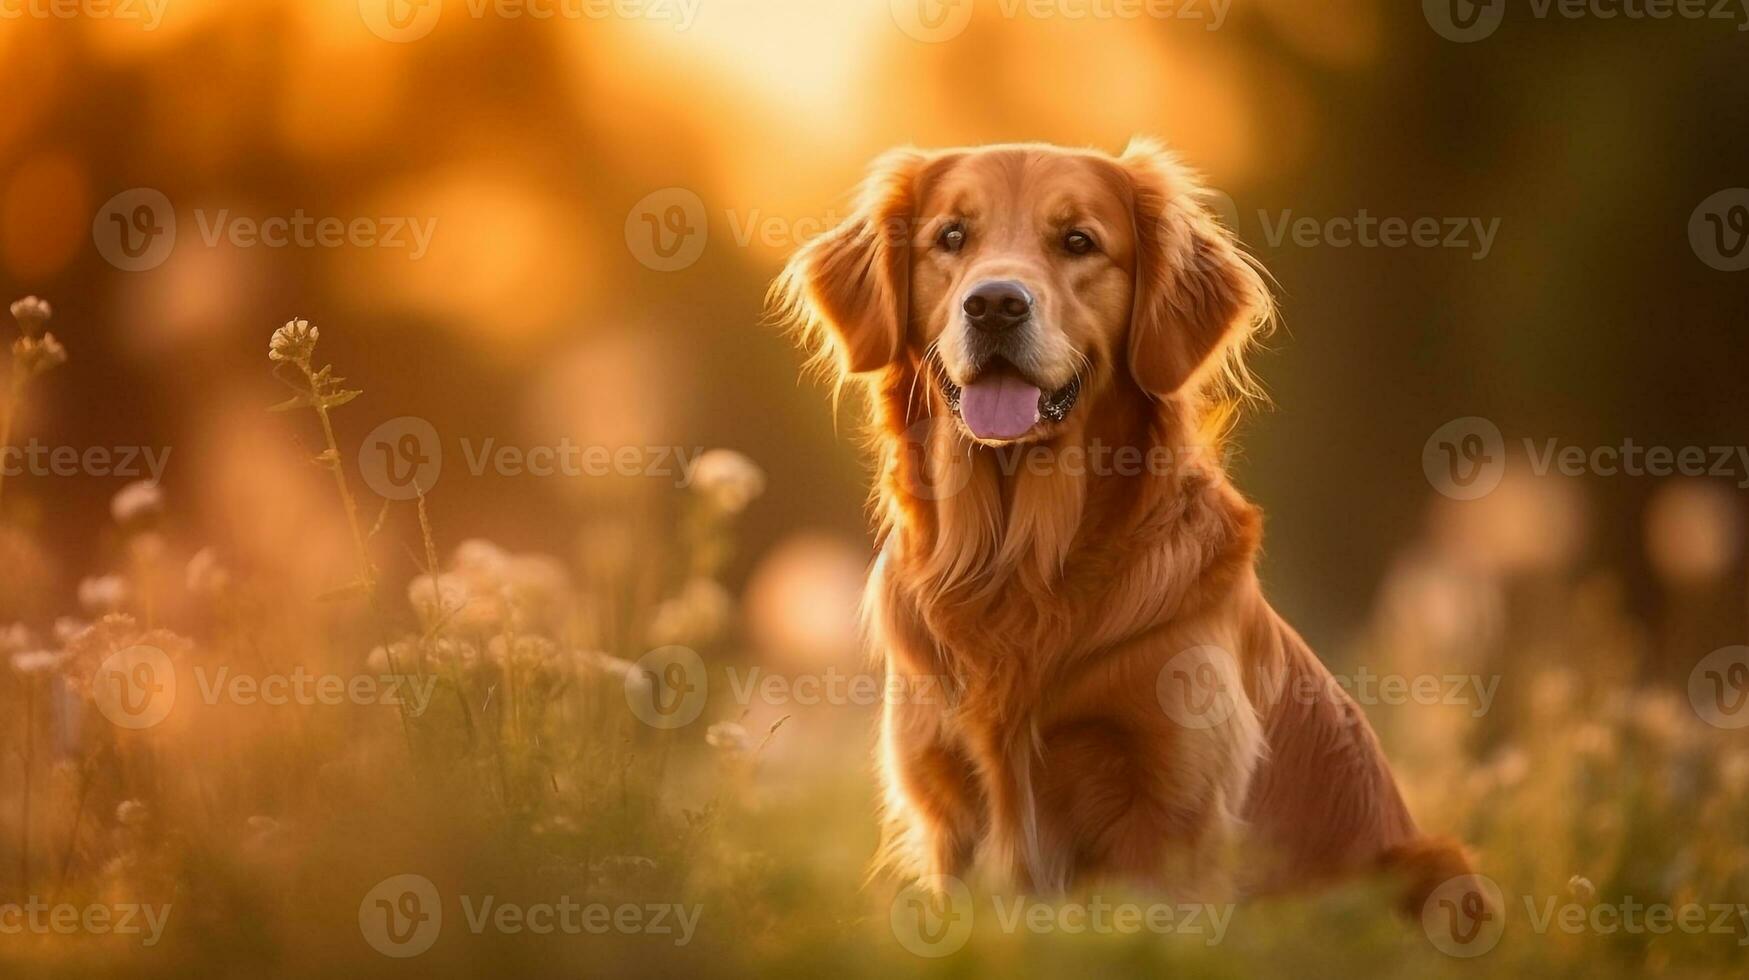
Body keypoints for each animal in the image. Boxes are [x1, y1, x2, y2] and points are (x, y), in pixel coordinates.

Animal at [776, 138, 1476, 910]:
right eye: (951, 237)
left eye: (1079, 241)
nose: (994, 304)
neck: (1021, 563)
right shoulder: (946, 806)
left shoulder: (1174, 808)